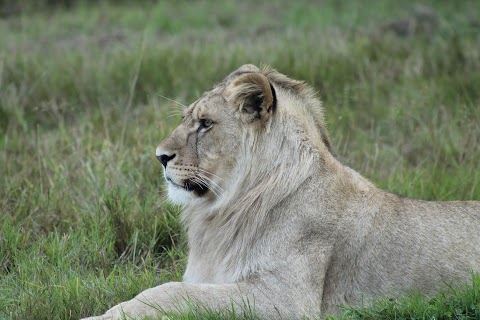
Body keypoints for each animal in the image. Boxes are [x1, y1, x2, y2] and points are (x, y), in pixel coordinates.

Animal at [82, 65, 480, 320]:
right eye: (186, 120)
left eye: (205, 124)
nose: (160, 157)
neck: (226, 210)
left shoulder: (285, 299)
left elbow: (170, 292)